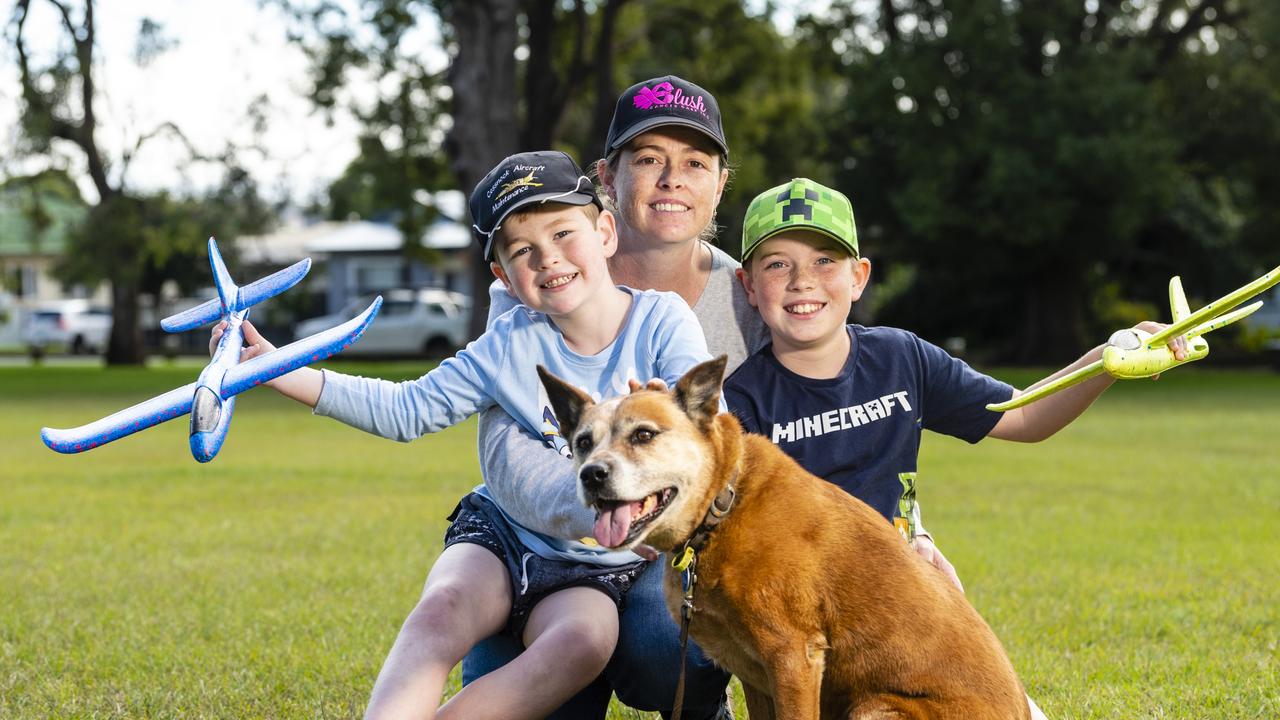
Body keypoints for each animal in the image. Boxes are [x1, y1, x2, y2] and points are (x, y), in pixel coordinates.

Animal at [537, 356, 1029, 712]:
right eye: (583, 443)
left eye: (643, 435)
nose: (591, 475)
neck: (725, 503)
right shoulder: (754, 670)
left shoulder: (794, 657)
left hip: (875, 707)